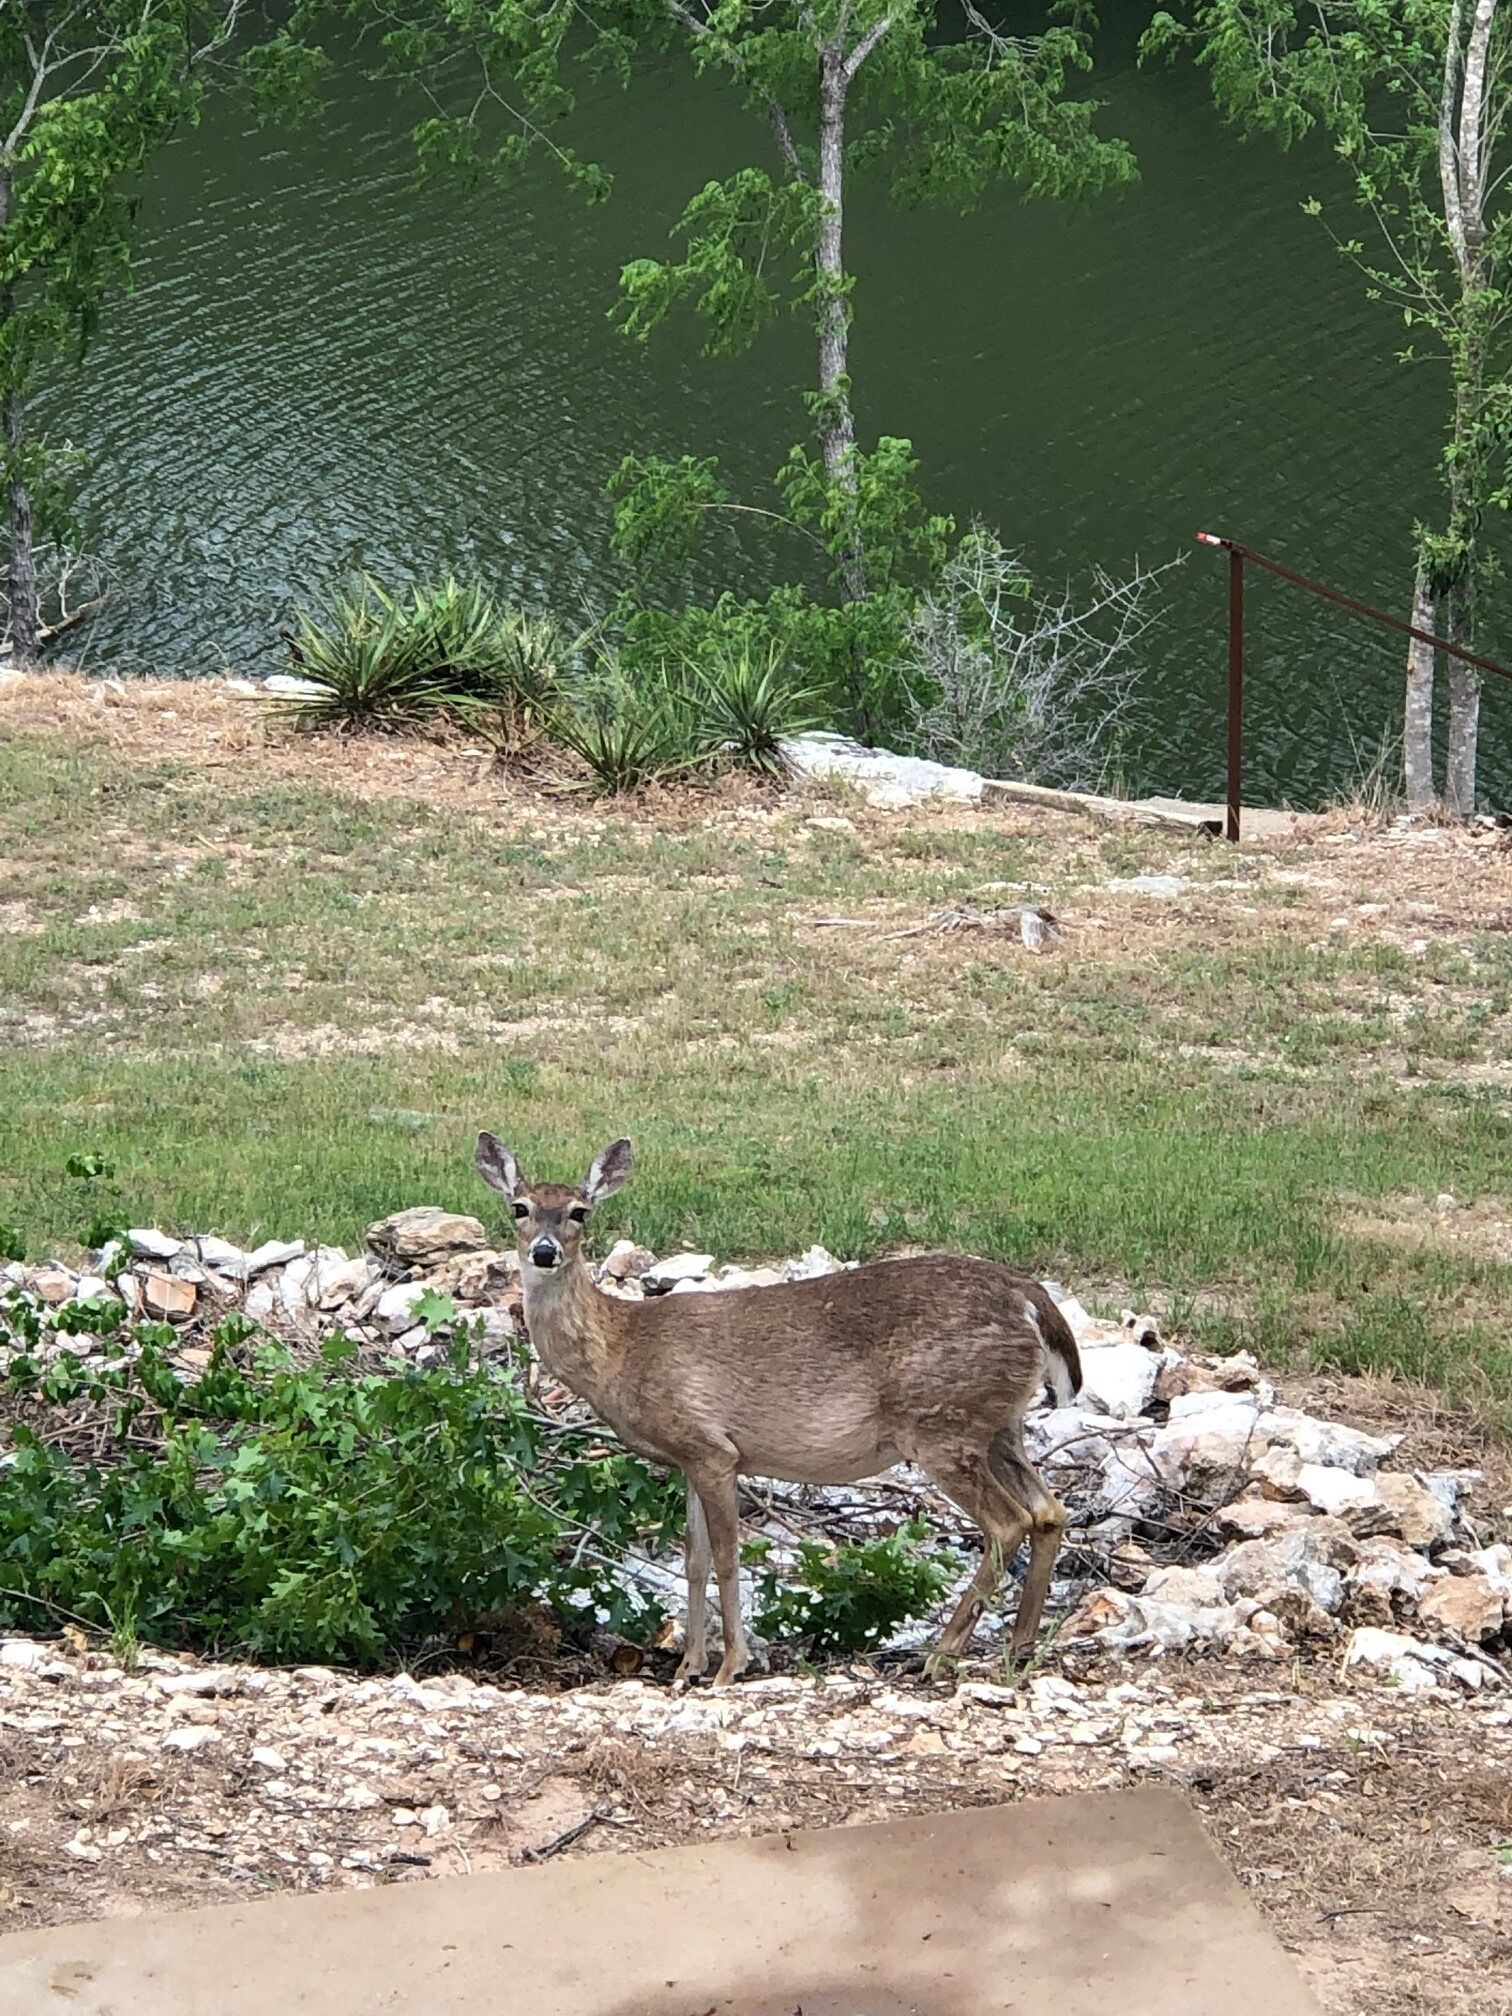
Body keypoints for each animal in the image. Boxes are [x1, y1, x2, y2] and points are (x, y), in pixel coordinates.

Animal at [475, 1132, 1082, 1687]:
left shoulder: (711, 1447)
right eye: (519, 1207)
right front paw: (687, 1668)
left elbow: (727, 1556)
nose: (545, 1251)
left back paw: (943, 1654)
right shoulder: (691, 1458)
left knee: (1008, 1521)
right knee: (1050, 1511)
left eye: (579, 1211)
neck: (621, 1349)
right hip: (998, 1424)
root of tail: (1031, 1300)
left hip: (942, 1423)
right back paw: (1018, 1652)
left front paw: (729, 1668)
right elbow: (694, 1561)